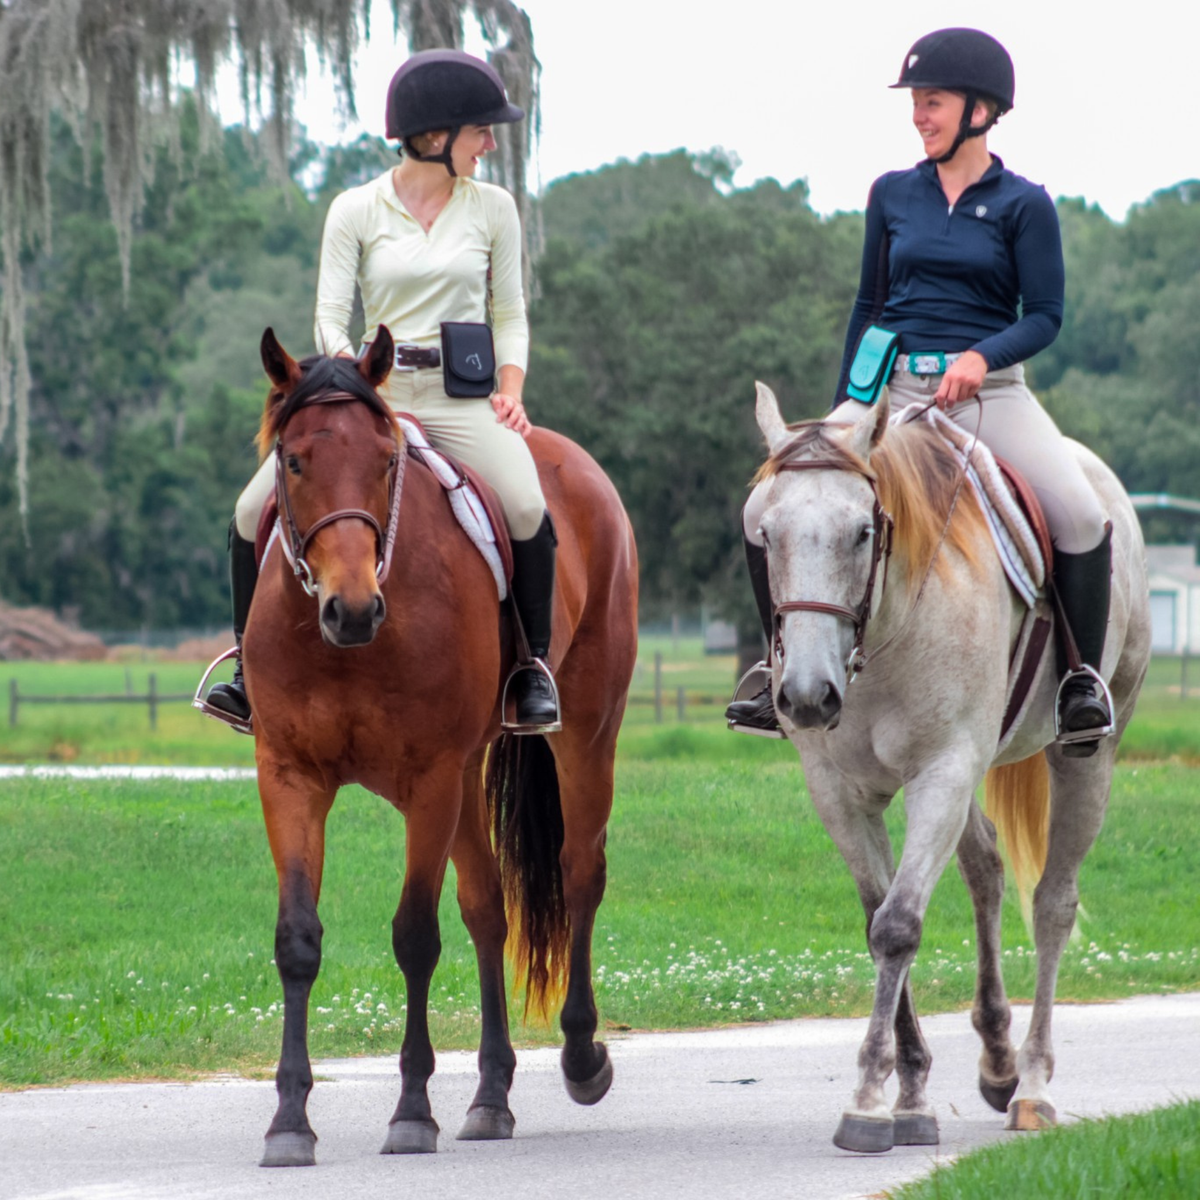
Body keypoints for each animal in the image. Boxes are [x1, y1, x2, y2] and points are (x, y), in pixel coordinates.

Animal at [241, 327, 637, 1166]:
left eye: (385, 461)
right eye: (293, 461)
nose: (352, 608)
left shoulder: (428, 781)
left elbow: (415, 937)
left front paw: (412, 1111)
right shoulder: (289, 777)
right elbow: (298, 938)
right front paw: (289, 1121)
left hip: (585, 737)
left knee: (580, 875)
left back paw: (582, 1056)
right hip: (466, 778)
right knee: (488, 909)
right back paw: (490, 1095)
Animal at [750, 383, 1149, 1154]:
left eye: (863, 532)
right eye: (766, 534)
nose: (808, 696)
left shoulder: (942, 771)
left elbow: (899, 925)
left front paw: (869, 1102)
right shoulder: (839, 793)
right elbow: (877, 919)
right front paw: (908, 1094)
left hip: (1086, 758)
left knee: (1052, 904)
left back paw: (1032, 1086)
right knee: (985, 869)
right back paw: (997, 1062)